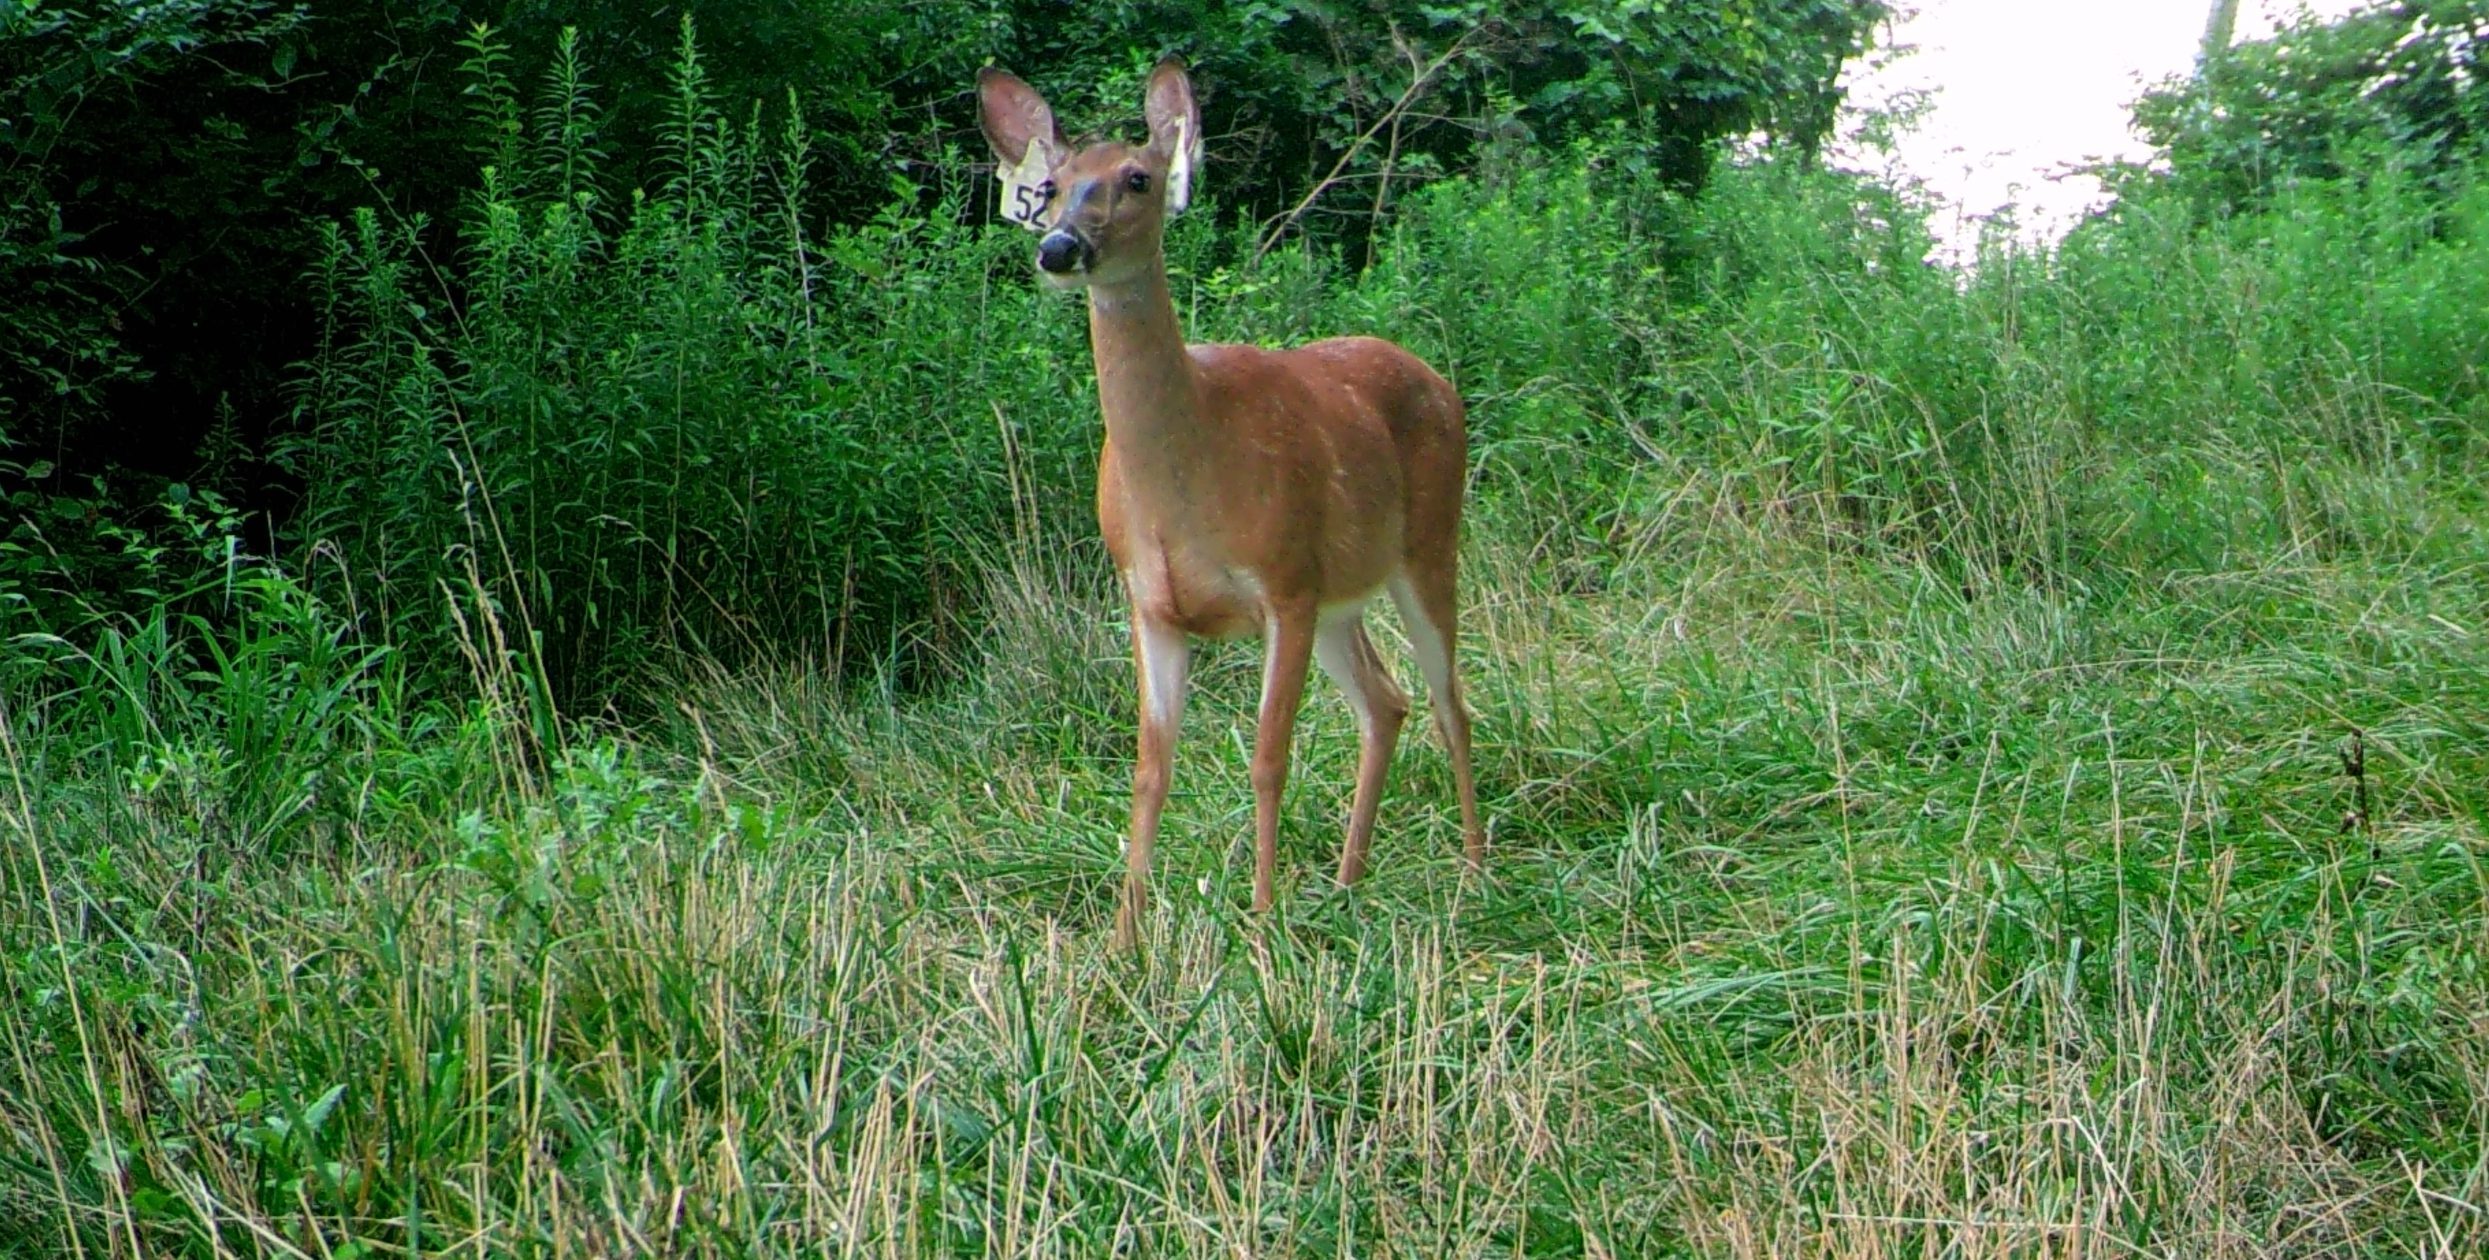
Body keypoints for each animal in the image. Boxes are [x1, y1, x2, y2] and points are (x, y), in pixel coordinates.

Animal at [970, 59, 1473, 946]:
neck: (1188, 486)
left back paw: (1477, 873)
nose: (1059, 247)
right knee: (1387, 701)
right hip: (1342, 596)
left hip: (1426, 542)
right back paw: (1346, 883)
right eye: (1053, 186)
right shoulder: (1148, 601)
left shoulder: (1283, 583)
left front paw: (1263, 920)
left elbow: (1268, 758)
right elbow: (1149, 769)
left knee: (1450, 699)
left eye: (1136, 178)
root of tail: (1435, 378)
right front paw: (1124, 938)